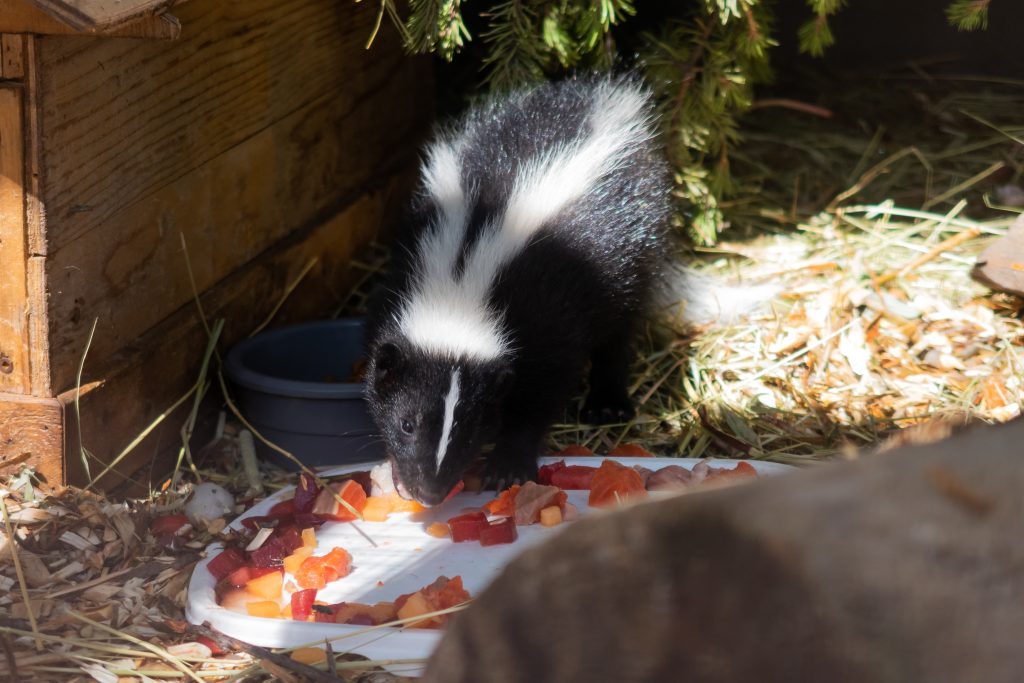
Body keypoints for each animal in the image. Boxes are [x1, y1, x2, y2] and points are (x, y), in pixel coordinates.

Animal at [368, 74, 704, 505]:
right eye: (407, 423)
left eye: (471, 428)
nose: (430, 492)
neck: (462, 279)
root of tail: (602, 94)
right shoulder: (403, 272)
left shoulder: (547, 309)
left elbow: (543, 388)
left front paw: (508, 464)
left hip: (635, 238)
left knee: (622, 326)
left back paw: (607, 403)